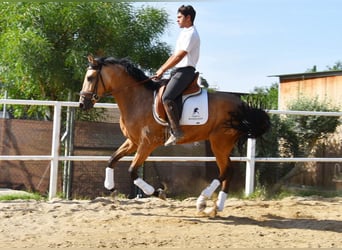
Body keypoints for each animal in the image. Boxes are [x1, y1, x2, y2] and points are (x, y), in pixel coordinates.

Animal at [79, 55, 270, 214]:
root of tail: (241, 104)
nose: (82, 103)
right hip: (222, 144)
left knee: (226, 171)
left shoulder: (147, 143)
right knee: (227, 171)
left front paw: (157, 192)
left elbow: (132, 171)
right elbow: (111, 159)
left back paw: (203, 201)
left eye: (90, 78)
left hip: (219, 143)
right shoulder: (133, 142)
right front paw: (111, 188)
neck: (137, 99)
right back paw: (216, 207)